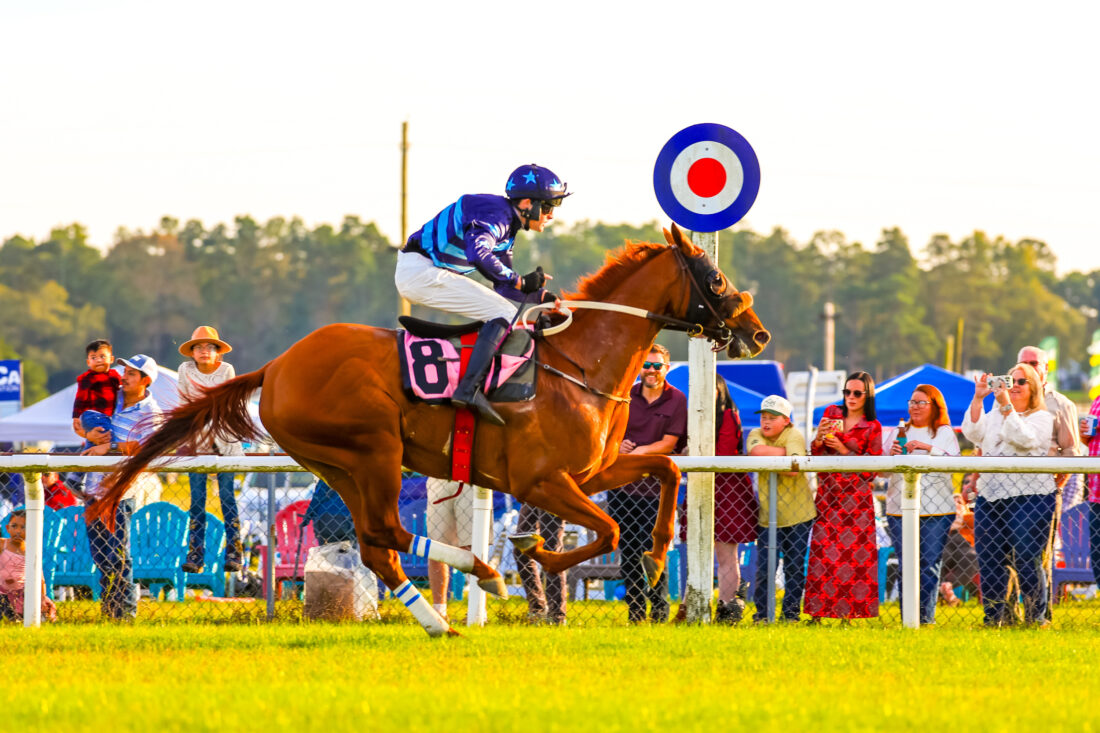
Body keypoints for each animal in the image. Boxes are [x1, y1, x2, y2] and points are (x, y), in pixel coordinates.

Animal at [89, 223, 770, 636]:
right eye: (714, 278)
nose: (756, 333)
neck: (578, 363)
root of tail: (277, 365)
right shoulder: (542, 481)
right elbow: (604, 530)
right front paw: (534, 552)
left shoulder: (595, 469)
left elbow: (670, 468)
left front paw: (654, 558)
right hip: (374, 449)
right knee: (387, 534)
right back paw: (480, 577)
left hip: (337, 463)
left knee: (376, 544)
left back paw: (443, 616)